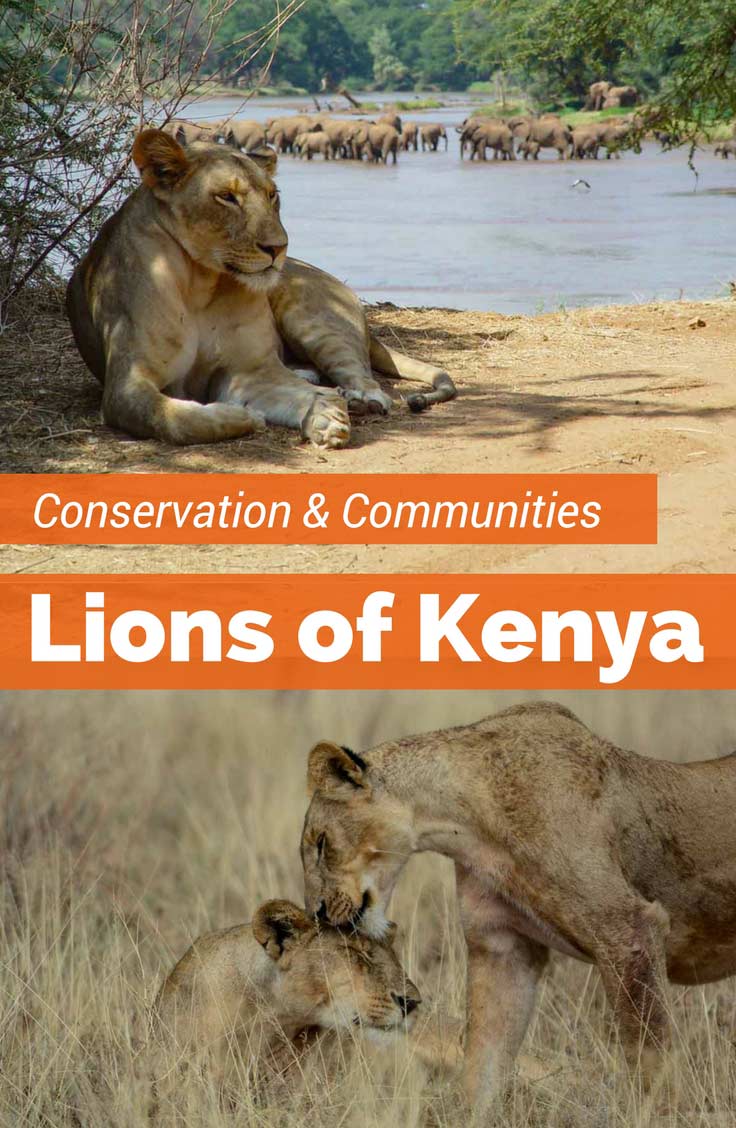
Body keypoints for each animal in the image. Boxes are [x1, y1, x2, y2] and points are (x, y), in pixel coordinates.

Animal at [65, 129, 456, 449]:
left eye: (272, 196)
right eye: (226, 197)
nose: (278, 248)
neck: (200, 284)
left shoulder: (249, 370)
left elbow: (293, 394)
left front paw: (324, 415)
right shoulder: (126, 386)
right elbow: (170, 417)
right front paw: (243, 416)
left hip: (312, 318)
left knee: (361, 374)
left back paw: (360, 397)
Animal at [300, 701, 736, 1116]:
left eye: (320, 843)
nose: (317, 912)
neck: (464, 820)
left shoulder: (628, 930)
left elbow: (650, 1056)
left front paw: (661, 1114)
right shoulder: (502, 946)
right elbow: (482, 1066)